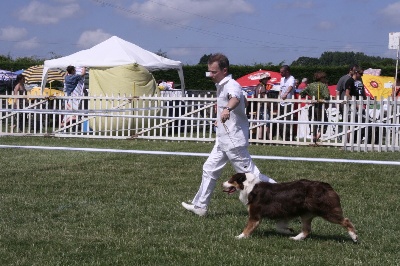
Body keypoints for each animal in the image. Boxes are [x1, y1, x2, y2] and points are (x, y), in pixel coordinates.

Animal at [222, 172, 360, 243]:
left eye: (230, 180)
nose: (222, 184)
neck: (249, 187)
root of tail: (326, 186)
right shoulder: (282, 213)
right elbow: (279, 227)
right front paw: (288, 230)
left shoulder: (255, 215)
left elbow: (247, 228)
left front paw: (239, 237)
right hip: (306, 214)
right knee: (307, 230)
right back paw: (296, 238)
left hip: (327, 211)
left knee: (346, 220)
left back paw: (354, 236)